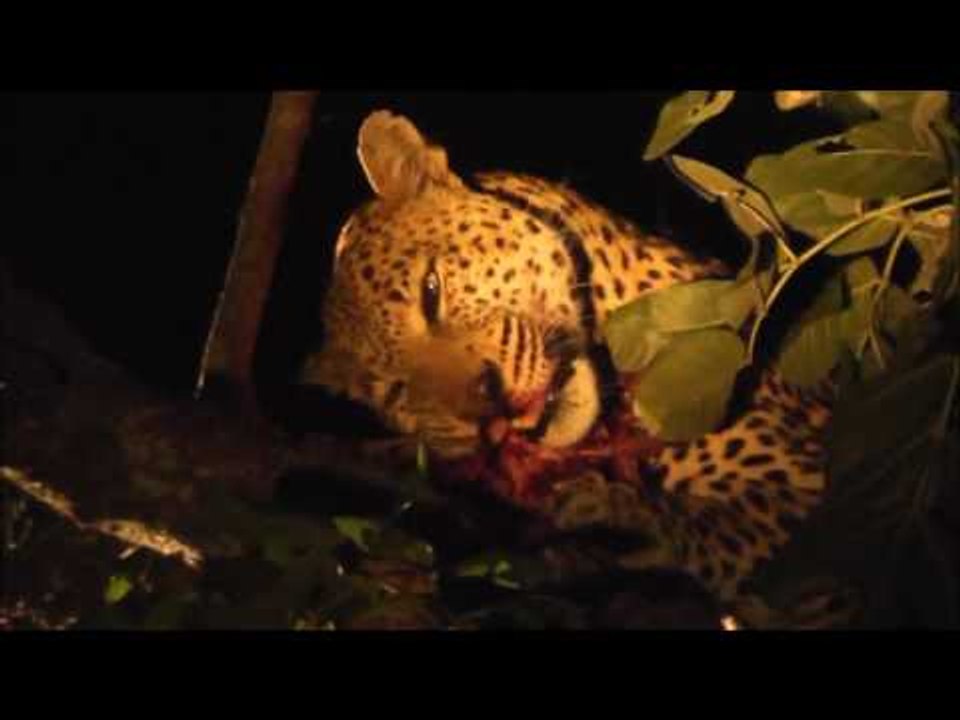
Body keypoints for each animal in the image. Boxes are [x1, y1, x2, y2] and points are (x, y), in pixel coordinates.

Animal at [301, 110, 844, 626]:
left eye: (431, 293)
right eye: (400, 392)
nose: (490, 405)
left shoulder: (805, 475)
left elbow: (735, 527)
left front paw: (620, 516)